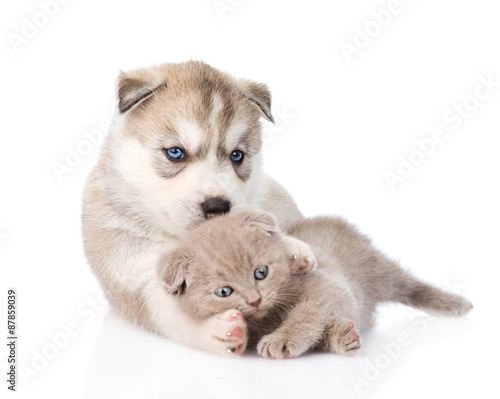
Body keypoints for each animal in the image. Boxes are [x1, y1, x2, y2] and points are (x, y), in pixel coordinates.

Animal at [81, 60, 312, 356]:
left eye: (237, 156)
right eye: (175, 152)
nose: (217, 205)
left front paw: (289, 247)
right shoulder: (135, 276)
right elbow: (169, 312)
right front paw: (214, 329)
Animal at [157, 206, 472, 360]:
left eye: (261, 273)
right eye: (224, 291)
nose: (255, 300)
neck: (269, 317)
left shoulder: (328, 284)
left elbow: (308, 312)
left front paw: (283, 340)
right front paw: (342, 336)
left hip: (379, 269)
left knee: (410, 286)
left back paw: (456, 304)